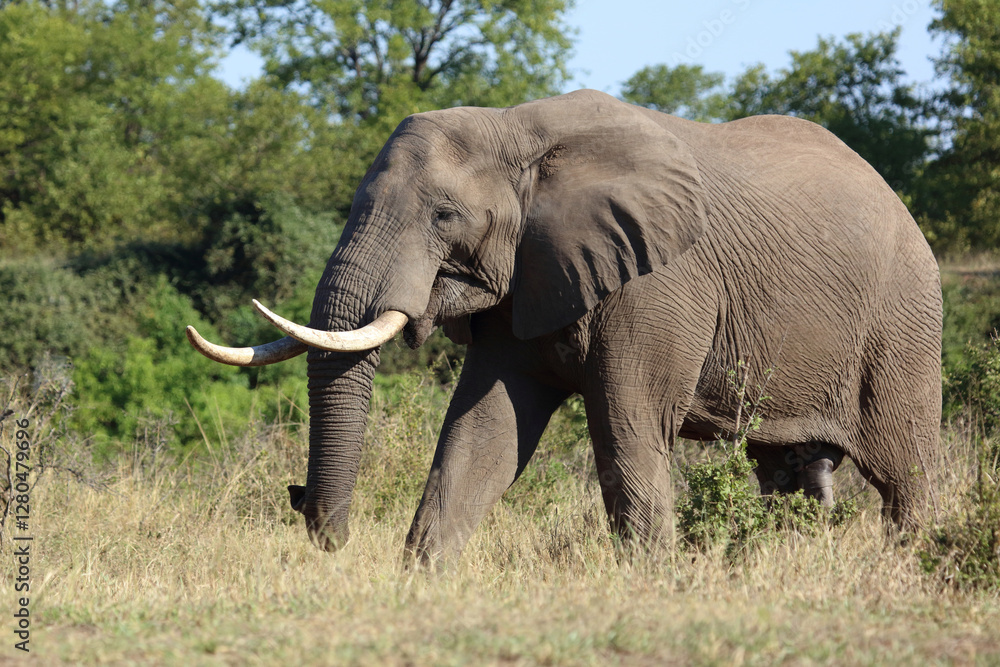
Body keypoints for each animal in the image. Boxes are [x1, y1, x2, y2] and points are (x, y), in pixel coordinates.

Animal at [186, 89, 942, 562]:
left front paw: (649, 584)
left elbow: (627, 428)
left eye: (443, 216)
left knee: (904, 474)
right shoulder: (525, 276)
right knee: (789, 474)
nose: (310, 513)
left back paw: (907, 566)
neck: (520, 129)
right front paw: (420, 580)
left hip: (904, 319)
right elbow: (483, 432)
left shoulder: (659, 281)